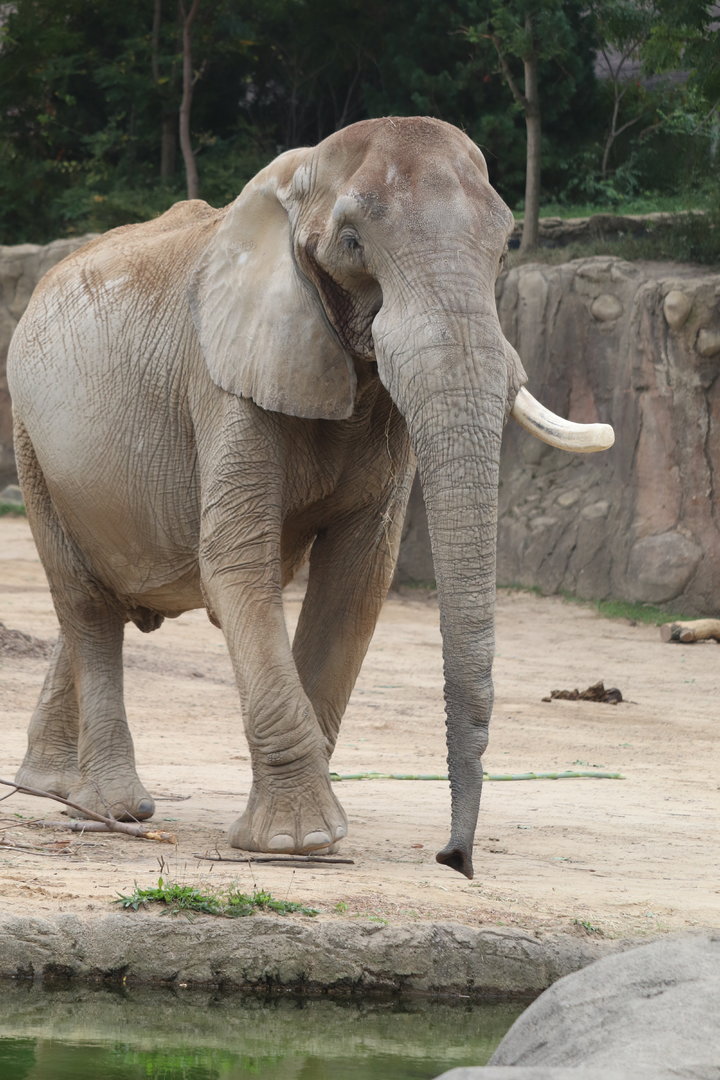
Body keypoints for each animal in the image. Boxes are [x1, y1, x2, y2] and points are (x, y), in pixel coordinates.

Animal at [7, 116, 613, 877]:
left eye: (506, 244)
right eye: (352, 242)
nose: (454, 859)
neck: (296, 181)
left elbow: (357, 577)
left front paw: (308, 833)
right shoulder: (224, 378)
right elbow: (238, 565)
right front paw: (299, 844)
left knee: (99, 600)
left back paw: (54, 789)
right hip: (31, 438)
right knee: (85, 604)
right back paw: (117, 808)